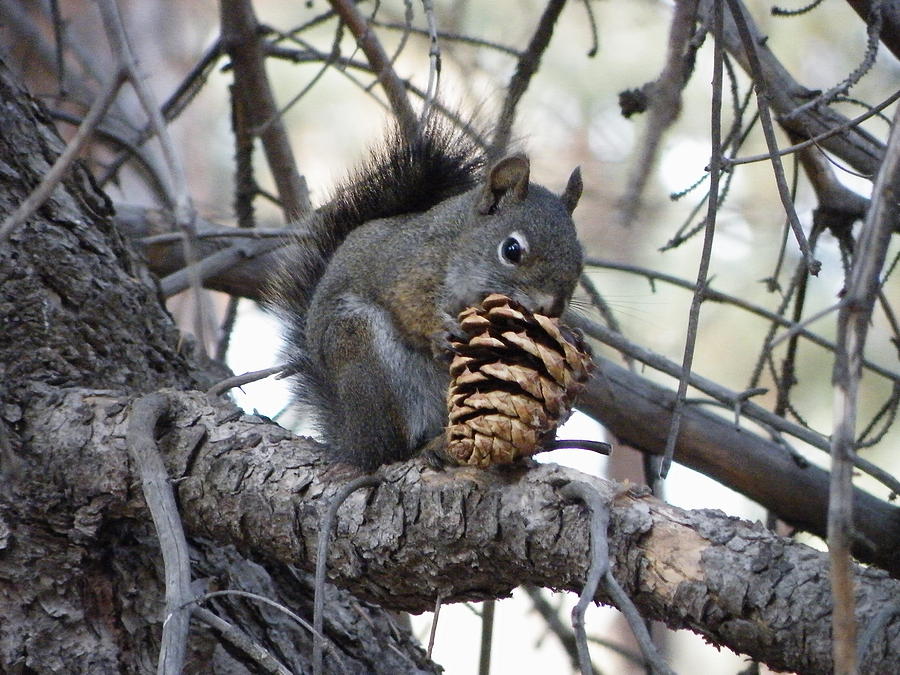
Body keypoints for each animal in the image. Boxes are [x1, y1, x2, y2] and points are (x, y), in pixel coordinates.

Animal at [268, 119, 588, 470]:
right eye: (511, 250)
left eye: (579, 259)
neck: (459, 243)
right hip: (363, 352)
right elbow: (408, 304)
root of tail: (348, 438)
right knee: (388, 451)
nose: (551, 307)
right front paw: (440, 330)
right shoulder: (409, 267)